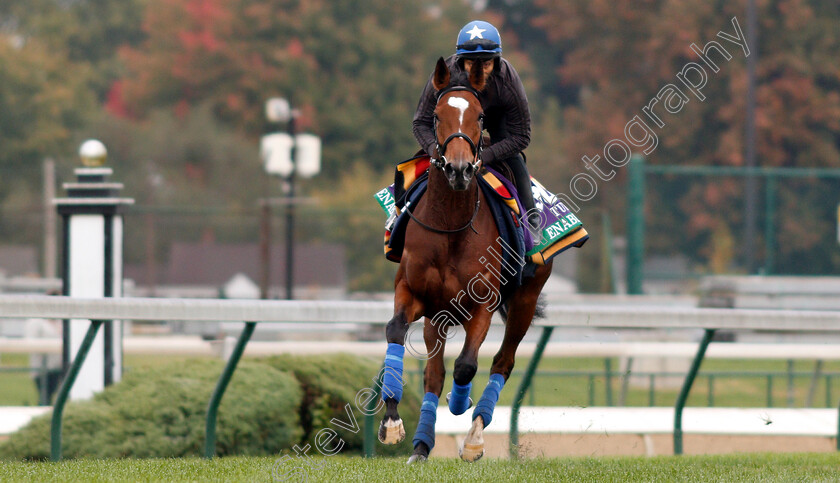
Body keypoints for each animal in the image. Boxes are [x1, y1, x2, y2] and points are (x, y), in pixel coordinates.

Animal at [378, 58, 552, 464]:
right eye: (437, 116)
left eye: (480, 115)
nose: (458, 169)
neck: (451, 227)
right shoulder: (412, 292)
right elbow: (396, 332)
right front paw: (392, 422)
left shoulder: (483, 303)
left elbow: (467, 365)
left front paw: (463, 409)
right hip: (438, 316)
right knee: (434, 372)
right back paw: (421, 445)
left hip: (524, 300)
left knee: (502, 361)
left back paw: (473, 433)